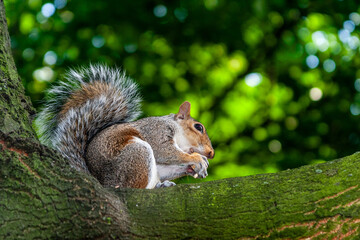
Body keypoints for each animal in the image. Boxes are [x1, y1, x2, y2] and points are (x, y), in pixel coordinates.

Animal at [34, 64, 214, 188]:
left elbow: (165, 168)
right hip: (137, 154)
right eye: (198, 127)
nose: (211, 153)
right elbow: (165, 151)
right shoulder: (156, 131)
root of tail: (104, 184)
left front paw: (193, 167)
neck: (176, 130)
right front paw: (197, 159)